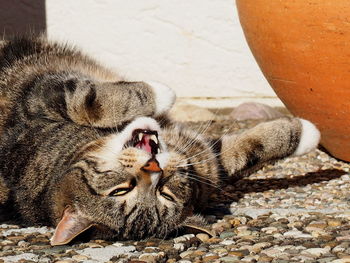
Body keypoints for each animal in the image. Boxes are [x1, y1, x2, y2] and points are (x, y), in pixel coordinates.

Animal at [0, 36, 320, 246]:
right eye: (121, 190)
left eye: (165, 192)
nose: (154, 167)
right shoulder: (37, 98)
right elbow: (87, 100)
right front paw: (161, 92)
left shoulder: (205, 160)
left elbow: (246, 150)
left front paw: (306, 133)